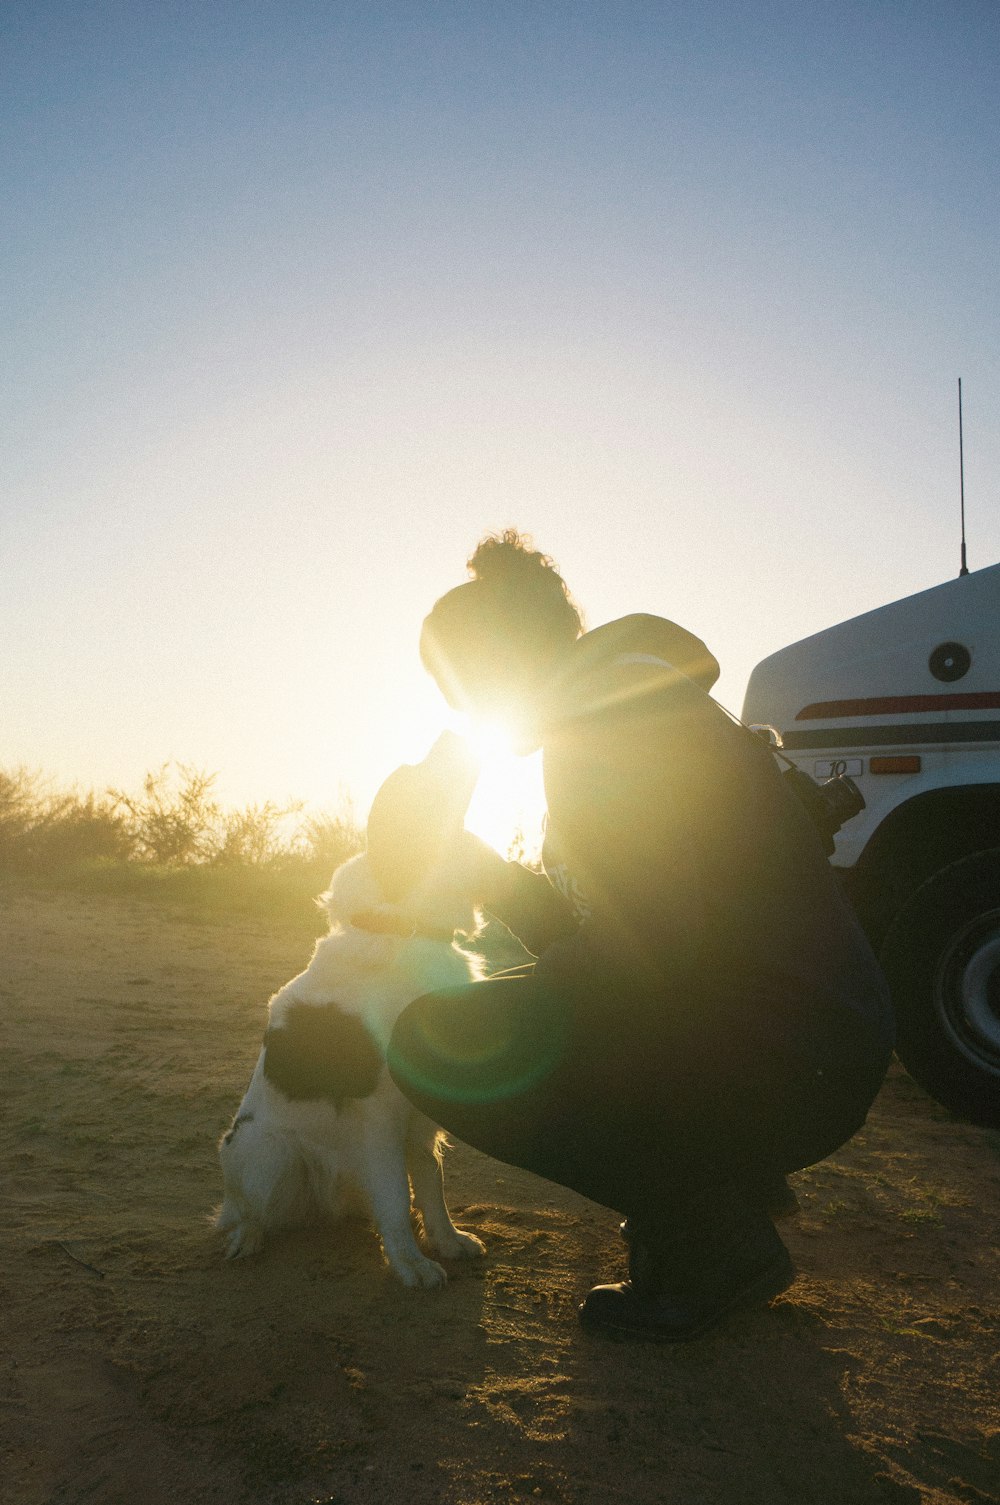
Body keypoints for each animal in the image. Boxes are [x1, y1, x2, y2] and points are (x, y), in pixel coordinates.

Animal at [215, 734, 487, 1288]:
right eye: (416, 778)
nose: (455, 732)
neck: (404, 928)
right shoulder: (379, 1114)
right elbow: (397, 1197)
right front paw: (410, 1265)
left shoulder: (419, 1114)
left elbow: (431, 1184)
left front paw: (447, 1242)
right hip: (263, 1149)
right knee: (246, 1211)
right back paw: (246, 1239)